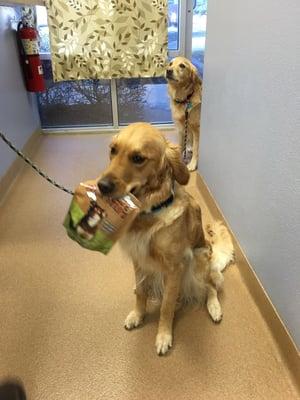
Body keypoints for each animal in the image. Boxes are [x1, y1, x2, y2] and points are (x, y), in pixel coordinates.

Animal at [98, 123, 234, 354]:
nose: (101, 186)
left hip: (198, 259)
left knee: (210, 286)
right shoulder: (139, 259)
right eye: (113, 150)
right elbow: (141, 292)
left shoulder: (174, 268)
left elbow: (167, 306)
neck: (149, 211)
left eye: (138, 158)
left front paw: (163, 335)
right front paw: (137, 314)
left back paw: (214, 307)